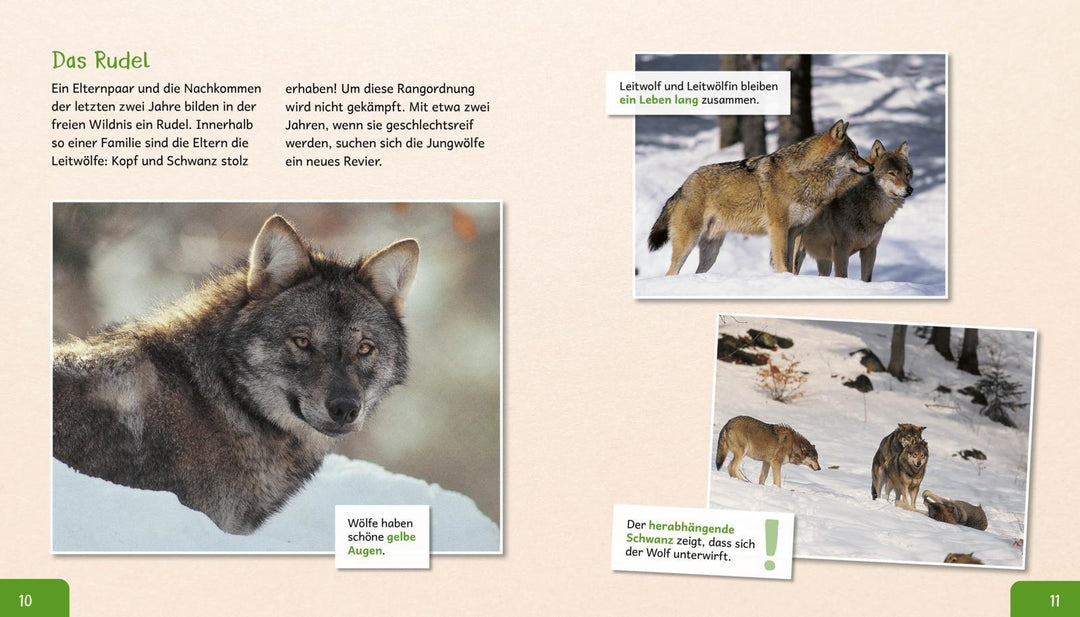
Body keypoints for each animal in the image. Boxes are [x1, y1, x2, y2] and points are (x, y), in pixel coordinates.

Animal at [648, 119, 872, 276]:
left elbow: (790, 263)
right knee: (671, 272)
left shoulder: (795, 231)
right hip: (688, 243)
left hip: (712, 251)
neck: (806, 175)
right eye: (854, 153)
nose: (871, 167)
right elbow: (781, 262)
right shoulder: (778, 227)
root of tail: (683, 185)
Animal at [794, 140, 913, 281]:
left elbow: (867, 279)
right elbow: (842, 276)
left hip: (824, 260)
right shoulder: (841, 250)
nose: (909, 189)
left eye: (907, 174)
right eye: (892, 173)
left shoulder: (870, 249)